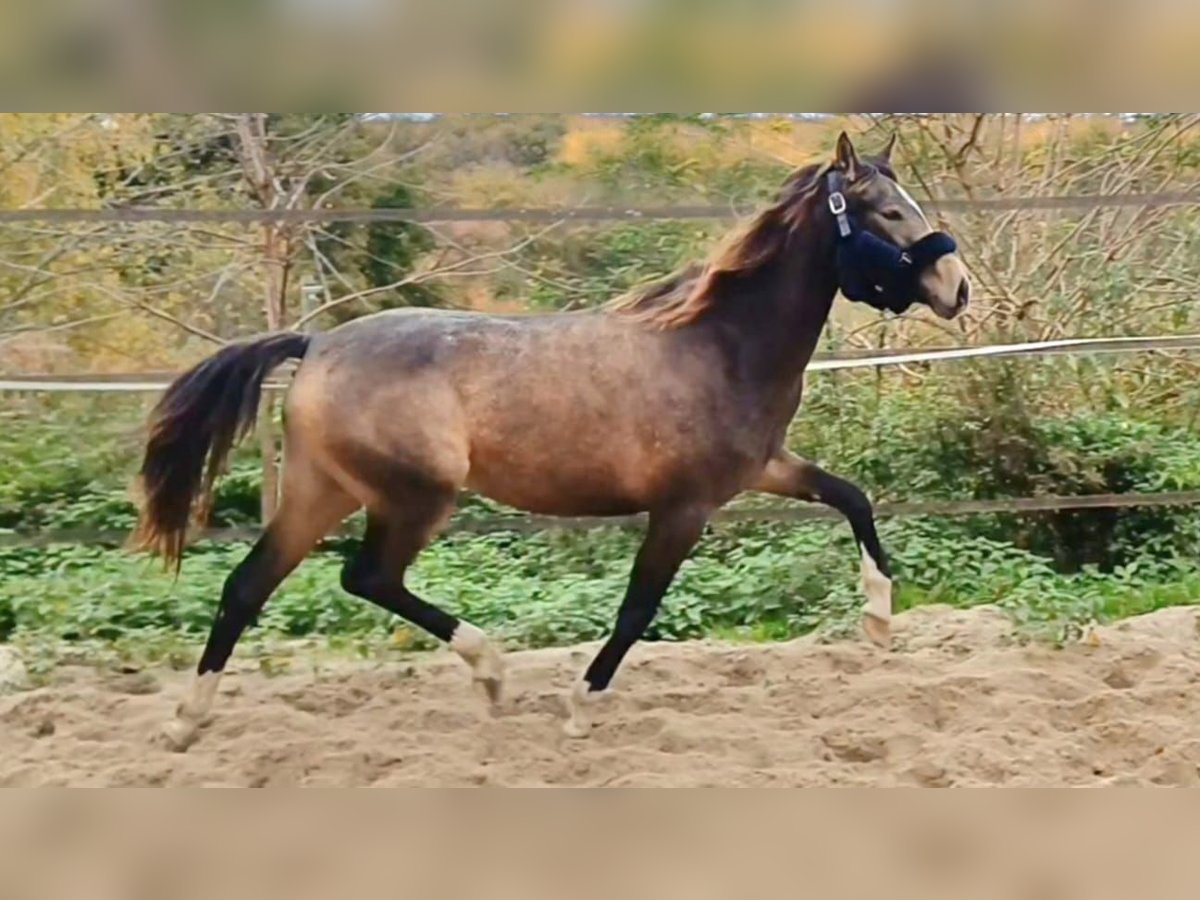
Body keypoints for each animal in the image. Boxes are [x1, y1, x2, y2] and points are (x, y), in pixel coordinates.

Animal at [136, 133, 969, 748]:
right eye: (887, 212)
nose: (957, 287)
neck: (718, 345)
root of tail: (316, 345)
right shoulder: (684, 507)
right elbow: (637, 610)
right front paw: (579, 706)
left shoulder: (765, 469)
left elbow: (853, 499)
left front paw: (879, 622)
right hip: (414, 497)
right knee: (366, 577)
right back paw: (491, 671)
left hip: (324, 489)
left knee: (248, 586)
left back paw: (185, 724)